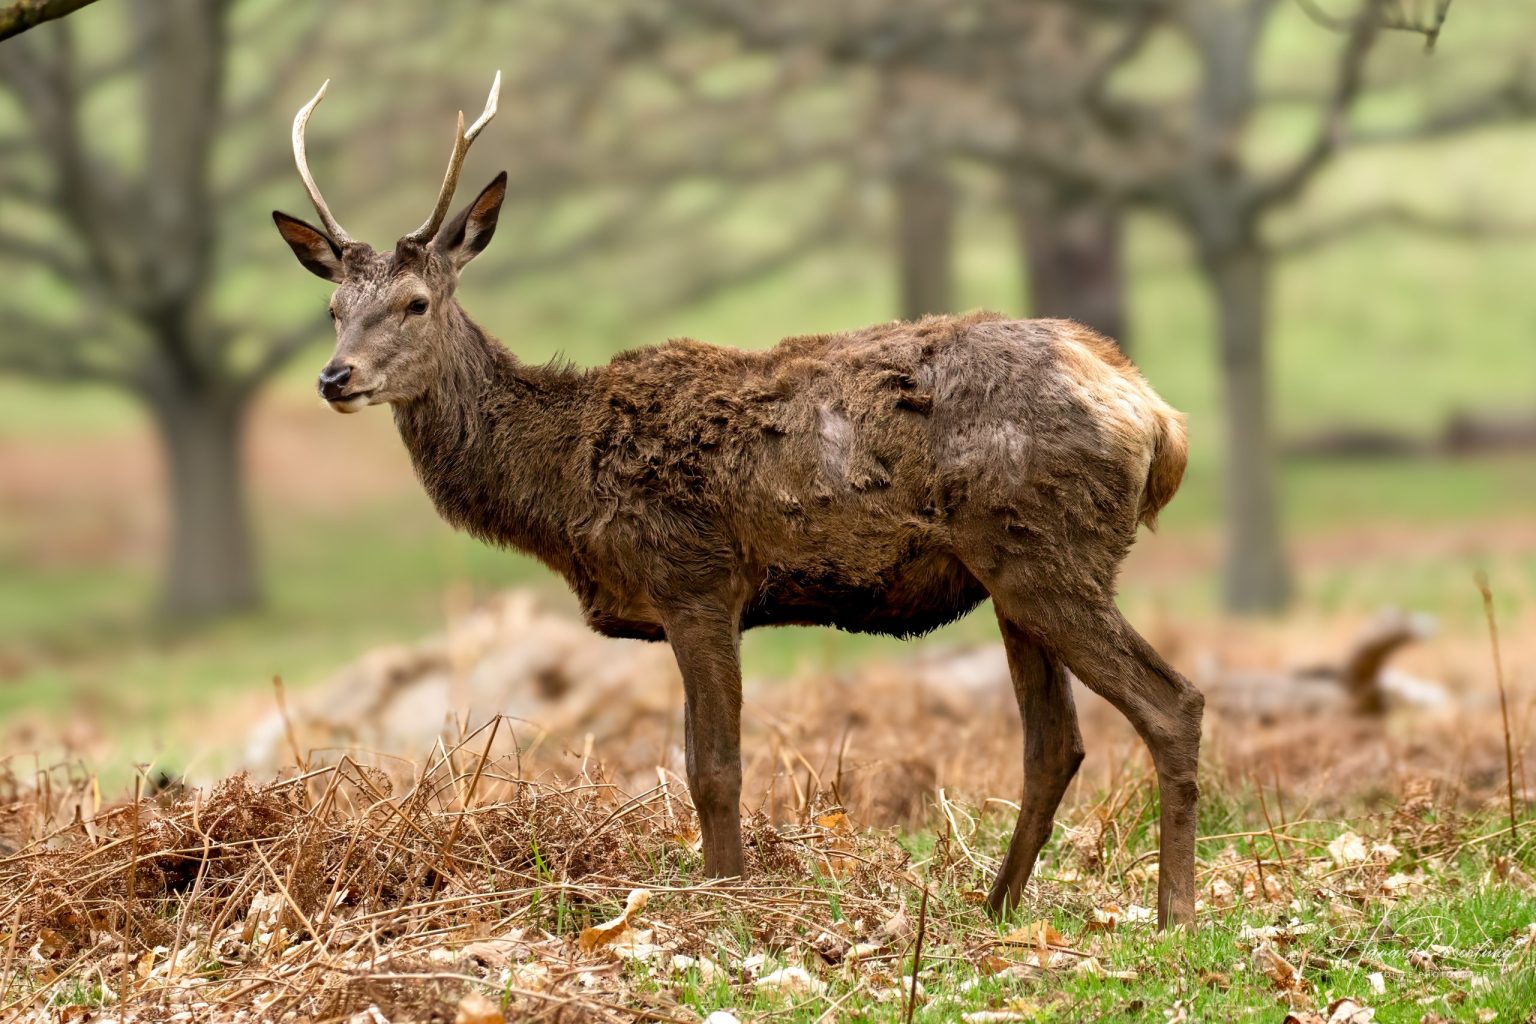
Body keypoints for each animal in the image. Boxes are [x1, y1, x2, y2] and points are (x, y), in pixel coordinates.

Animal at [272, 73, 1204, 929]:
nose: (334, 377)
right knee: (1056, 743)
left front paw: (727, 904)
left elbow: (714, 767)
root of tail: (1157, 416)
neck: (565, 482)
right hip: (1013, 573)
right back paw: (995, 908)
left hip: (1050, 553)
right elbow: (694, 761)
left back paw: (1174, 915)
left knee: (1172, 704)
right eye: (332, 307)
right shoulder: (687, 595)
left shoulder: (697, 575)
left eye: (415, 302)